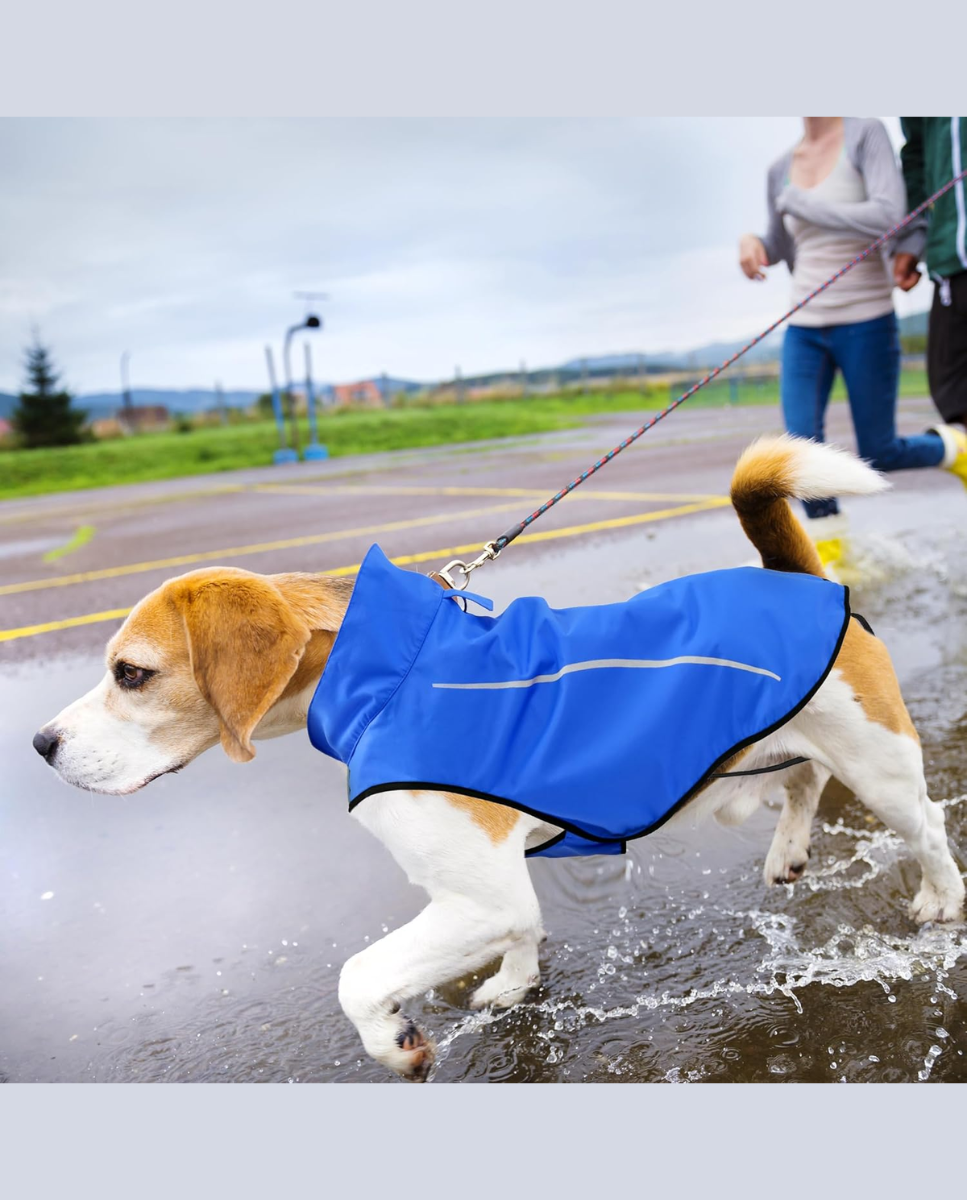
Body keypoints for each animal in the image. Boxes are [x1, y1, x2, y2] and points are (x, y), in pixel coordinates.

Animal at [34, 439, 964, 1080]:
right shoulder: (497, 885)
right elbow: (524, 927)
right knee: (804, 778)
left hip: (879, 767)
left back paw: (938, 899)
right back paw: (789, 850)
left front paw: (394, 1041)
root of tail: (800, 578)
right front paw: (514, 984)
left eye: (130, 673)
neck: (386, 670)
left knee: (924, 825)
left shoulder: (474, 895)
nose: (41, 746)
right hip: (772, 752)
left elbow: (358, 976)